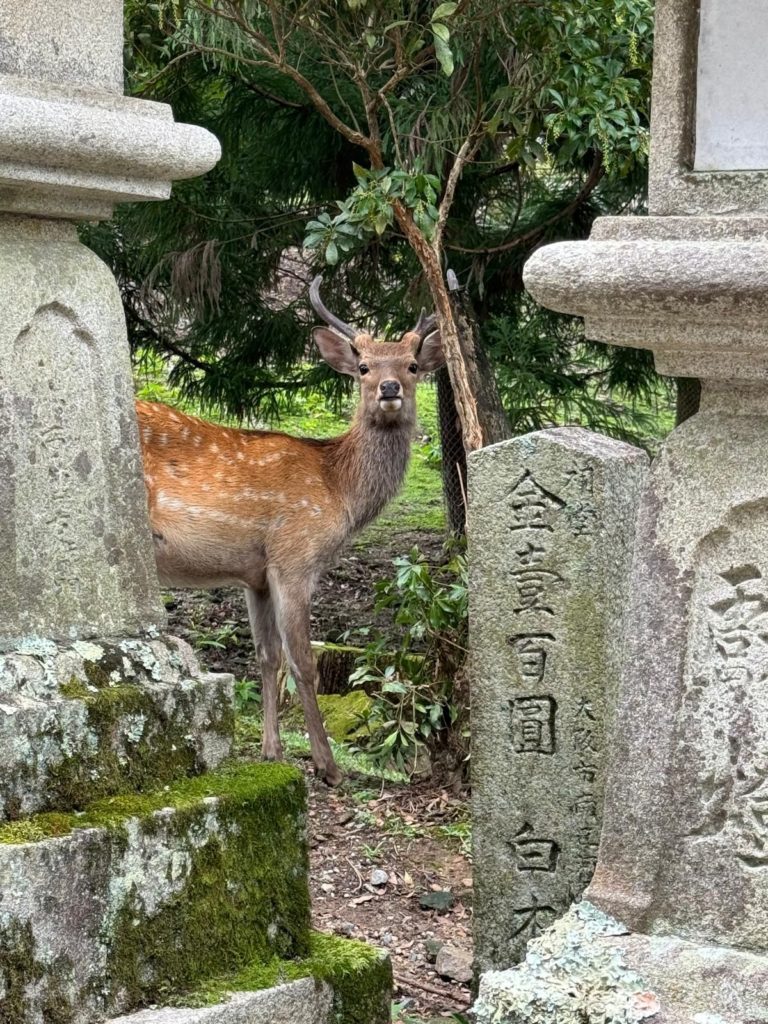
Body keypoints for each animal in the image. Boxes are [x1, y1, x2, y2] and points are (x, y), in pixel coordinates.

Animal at [138, 276, 444, 786]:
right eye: (362, 366)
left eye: (413, 365)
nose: (389, 387)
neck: (337, 488)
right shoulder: (295, 556)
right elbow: (304, 661)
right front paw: (327, 765)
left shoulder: (256, 575)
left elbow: (267, 656)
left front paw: (271, 751)